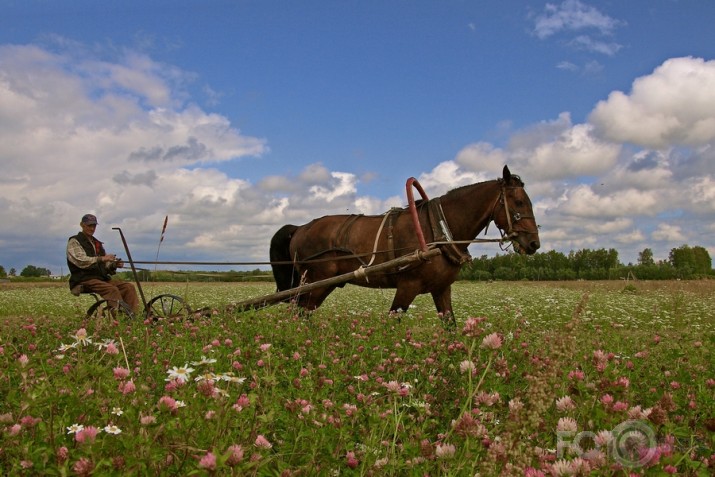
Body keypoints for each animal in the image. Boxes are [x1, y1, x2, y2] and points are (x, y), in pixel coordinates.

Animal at [272, 165, 540, 322]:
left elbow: (450, 325)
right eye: (518, 202)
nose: (534, 243)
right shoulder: (407, 287)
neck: (438, 231)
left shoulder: (441, 288)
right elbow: (394, 321)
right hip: (315, 283)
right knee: (299, 314)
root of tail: (300, 228)